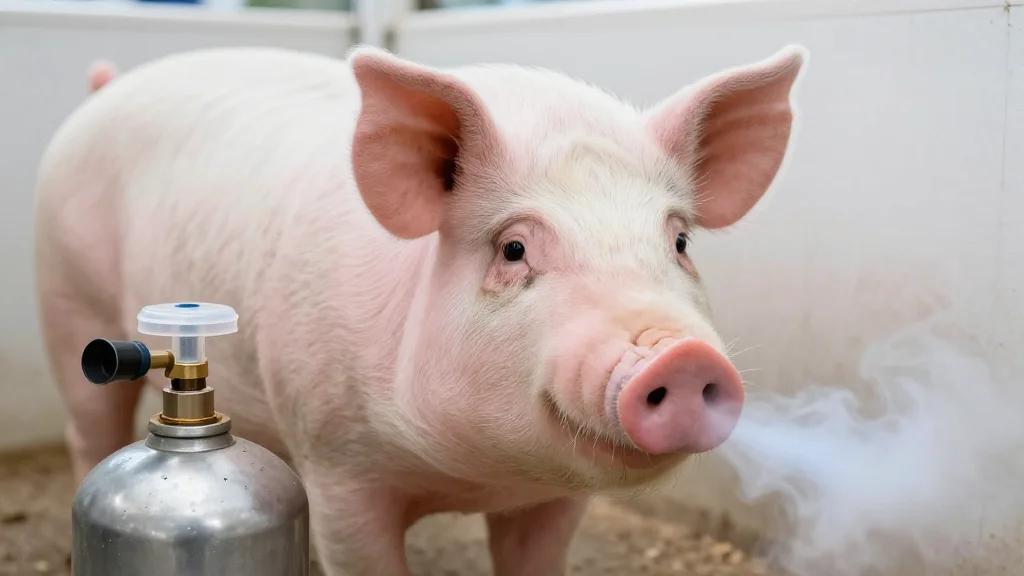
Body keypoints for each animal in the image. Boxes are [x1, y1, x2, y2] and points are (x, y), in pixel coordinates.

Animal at [35, 44, 805, 575]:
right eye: (515, 248)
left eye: (679, 242)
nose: (683, 356)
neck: (475, 476)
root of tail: (107, 88)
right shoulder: (338, 465)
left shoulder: (558, 497)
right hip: (68, 296)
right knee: (88, 424)